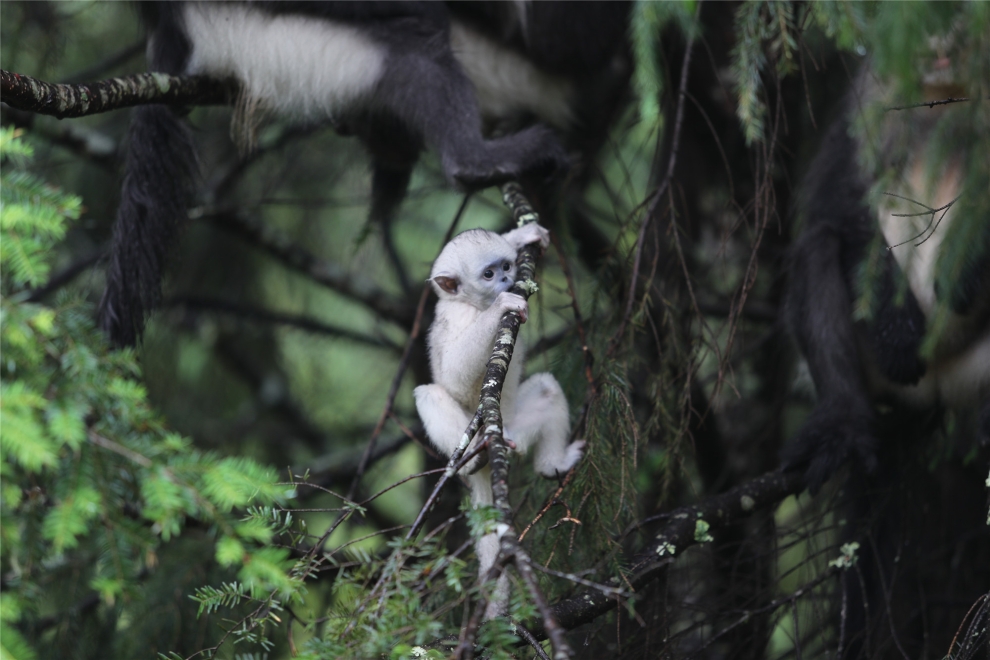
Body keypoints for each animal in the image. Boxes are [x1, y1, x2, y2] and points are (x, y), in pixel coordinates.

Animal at [414, 224, 584, 616]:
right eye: (489, 275)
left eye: (506, 266)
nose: (508, 279)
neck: (471, 304)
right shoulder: (455, 316)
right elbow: (454, 374)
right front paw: (501, 308)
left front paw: (524, 235)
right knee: (429, 393)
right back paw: (468, 461)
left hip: (516, 427)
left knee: (548, 389)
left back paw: (552, 465)